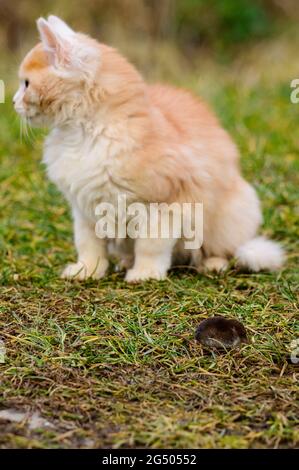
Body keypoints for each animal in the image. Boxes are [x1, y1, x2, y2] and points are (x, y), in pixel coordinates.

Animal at [13, 16, 286, 282]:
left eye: (26, 84)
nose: (13, 101)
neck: (86, 134)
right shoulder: (85, 209)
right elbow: (89, 245)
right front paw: (88, 271)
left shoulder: (162, 206)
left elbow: (150, 246)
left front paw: (145, 274)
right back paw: (124, 262)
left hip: (231, 215)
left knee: (222, 250)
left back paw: (212, 265)